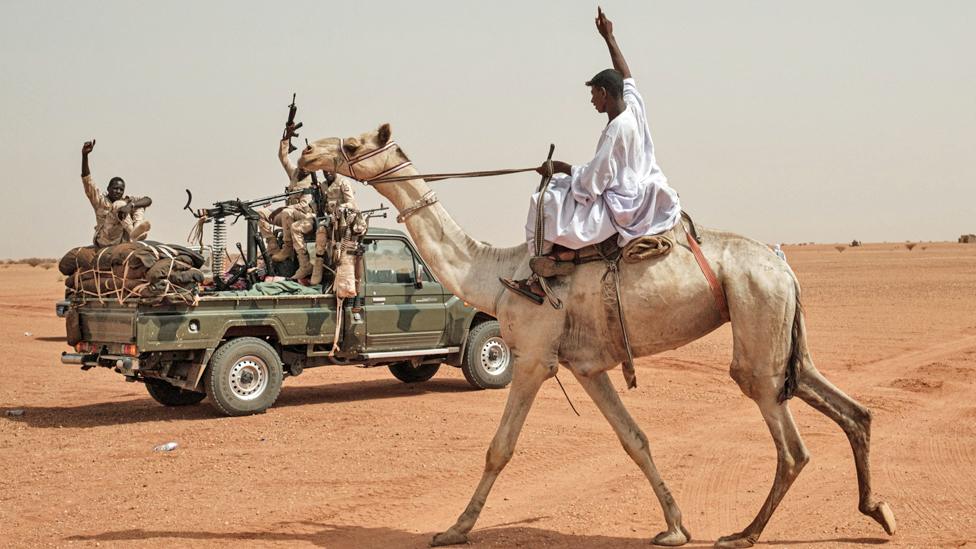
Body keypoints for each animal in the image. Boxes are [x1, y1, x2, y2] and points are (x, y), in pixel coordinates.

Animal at [300, 124, 900, 548]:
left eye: (352, 142)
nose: (308, 154)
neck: (494, 273)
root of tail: (784, 267)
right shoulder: (587, 366)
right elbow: (635, 439)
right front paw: (674, 527)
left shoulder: (534, 357)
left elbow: (499, 448)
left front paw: (453, 530)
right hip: (781, 330)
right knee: (848, 407)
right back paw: (879, 510)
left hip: (757, 319)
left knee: (789, 439)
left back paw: (745, 534)